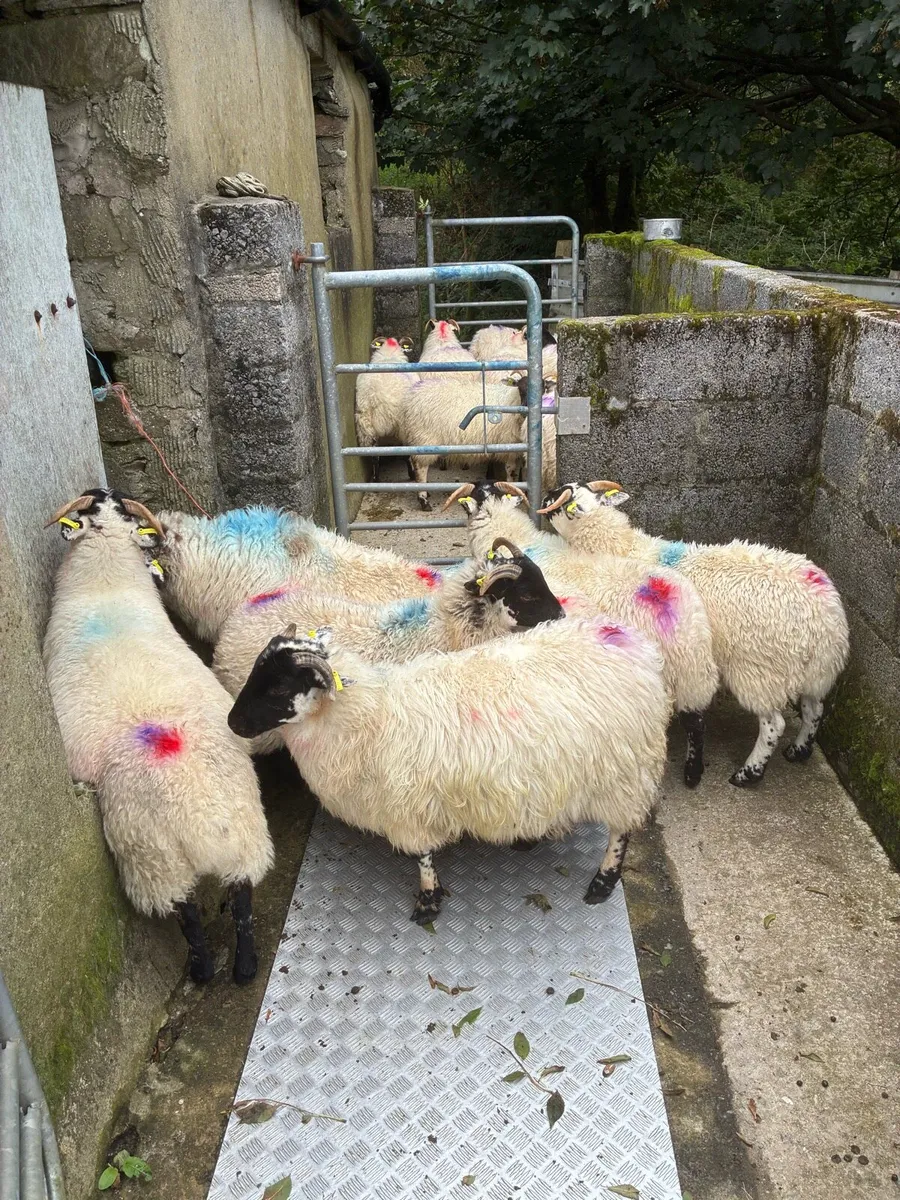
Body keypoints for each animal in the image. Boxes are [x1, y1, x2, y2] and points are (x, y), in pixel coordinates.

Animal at [42, 489, 273, 985]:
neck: (105, 581)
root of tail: (202, 817)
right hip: (245, 826)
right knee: (242, 895)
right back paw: (245, 967)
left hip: (153, 857)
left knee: (186, 912)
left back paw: (202, 970)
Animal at [227, 608, 670, 924]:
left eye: (279, 687)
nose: (232, 723)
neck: (368, 715)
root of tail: (633, 644)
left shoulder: (408, 807)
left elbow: (423, 857)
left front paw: (427, 903)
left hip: (626, 773)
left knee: (622, 831)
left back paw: (602, 883)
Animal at [355, 335, 417, 482]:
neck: (388, 357)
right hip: (404, 427)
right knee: (406, 452)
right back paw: (412, 474)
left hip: (365, 428)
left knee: (374, 456)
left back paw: (376, 479)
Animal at [443, 480, 719, 788]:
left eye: (560, 498)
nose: (547, 493)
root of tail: (682, 611)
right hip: (692, 673)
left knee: (694, 723)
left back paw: (692, 773)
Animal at [538, 480, 851, 785]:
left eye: (560, 500)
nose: (544, 494)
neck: (622, 547)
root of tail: (827, 613)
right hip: (815, 669)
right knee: (814, 709)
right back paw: (798, 751)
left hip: (760, 669)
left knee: (774, 723)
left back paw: (748, 773)